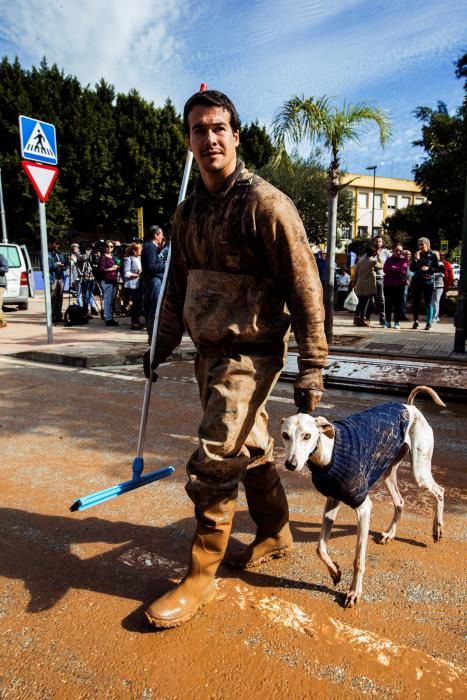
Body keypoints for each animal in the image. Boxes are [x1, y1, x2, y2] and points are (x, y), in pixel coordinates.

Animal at [282, 386, 446, 608]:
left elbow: (358, 559)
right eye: (285, 435)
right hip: (388, 472)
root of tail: (409, 407)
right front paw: (335, 572)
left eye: (307, 436)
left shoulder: (363, 507)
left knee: (440, 491)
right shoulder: (332, 500)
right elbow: (320, 547)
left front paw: (354, 592)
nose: (290, 464)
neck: (329, 454)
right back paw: (389, 534)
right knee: (400, 501)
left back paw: (437, 528)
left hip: (419, 473)